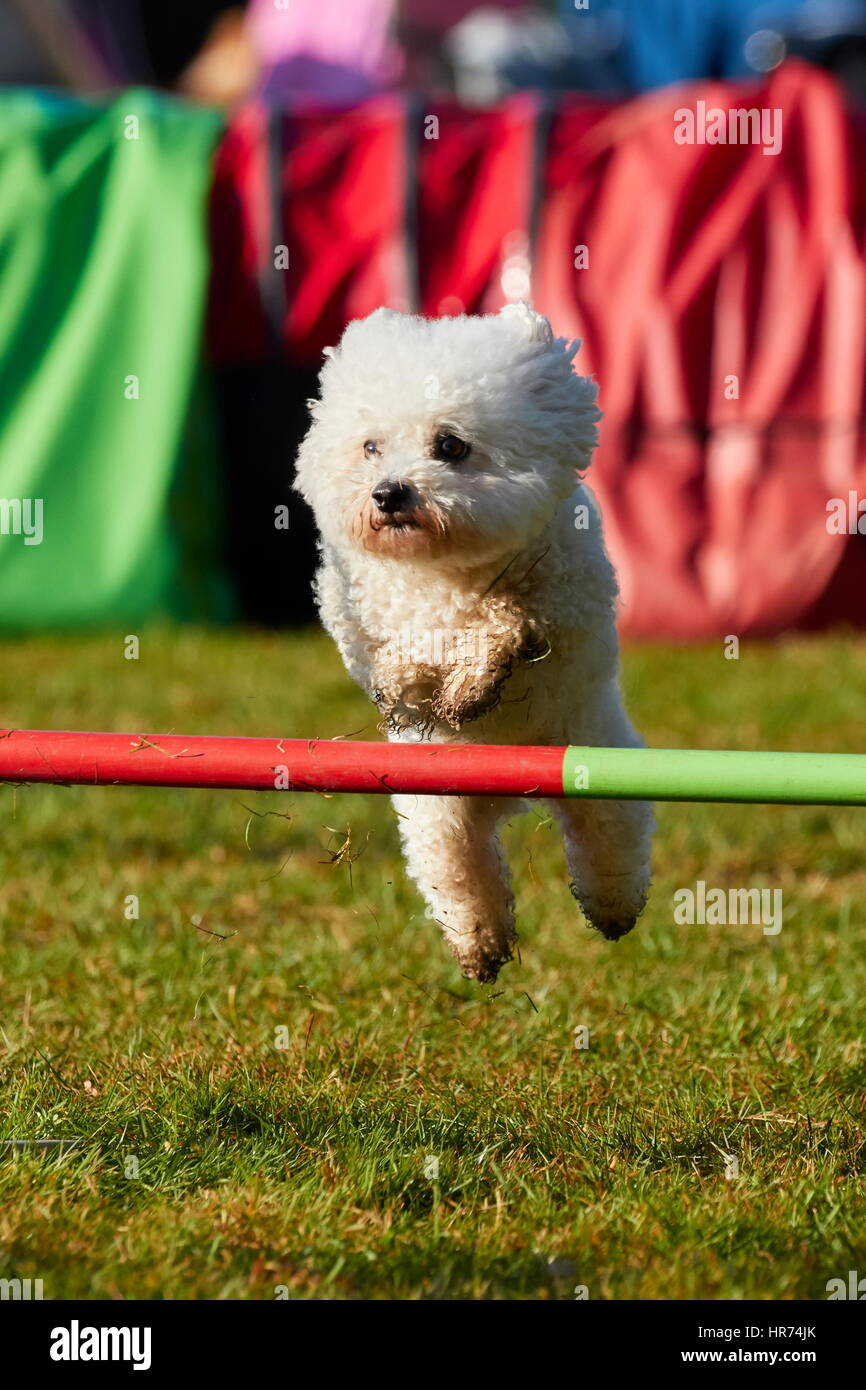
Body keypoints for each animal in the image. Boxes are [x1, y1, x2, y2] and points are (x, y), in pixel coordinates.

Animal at [294, 304, 653, 978]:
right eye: (370, 446)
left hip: (597, 763)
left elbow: (509, 622)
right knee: (459, 870)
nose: (388, 493)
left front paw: (471, 678)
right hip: (437, 809)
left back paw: (612, 909)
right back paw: (479, 943)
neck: (446, 568)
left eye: (450, 446)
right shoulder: (366, 612)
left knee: (610, 838)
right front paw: (421, 684)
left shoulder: (563, 599)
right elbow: (395, 659)